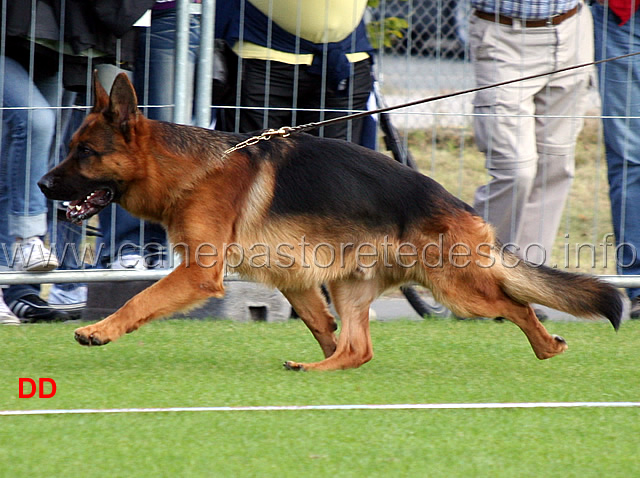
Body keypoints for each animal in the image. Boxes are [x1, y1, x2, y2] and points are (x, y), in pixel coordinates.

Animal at [37, 73, 624, 372]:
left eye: (85, 153)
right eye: (71, 148)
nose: (42, 185)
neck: (191, 168)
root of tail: (458, 204)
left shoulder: (200, 274)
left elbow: (140, 300)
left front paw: (98, 330)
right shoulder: (296, 280)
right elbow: (324, 329)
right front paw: (321, 353)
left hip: (458, 287)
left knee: (517, 305)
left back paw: (547, 347)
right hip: (350, 284)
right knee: (357, 349)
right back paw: (317, 370)